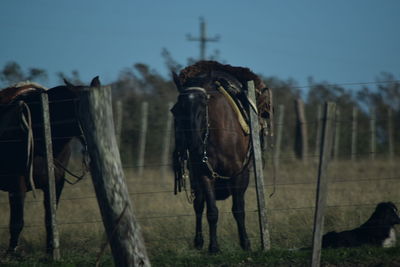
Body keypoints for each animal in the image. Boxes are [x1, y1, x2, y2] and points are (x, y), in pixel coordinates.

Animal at [0, 77, 99, 255]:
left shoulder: (56, 184)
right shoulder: (17, 185)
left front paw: (50, 251)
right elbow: (17, 222)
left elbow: (49, 220)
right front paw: (12, 253)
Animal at [172, 60, 272, 253]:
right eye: (176, 109)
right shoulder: (204, 174)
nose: (192, 145)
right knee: (199, 205)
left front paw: (245, 242)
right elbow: (211, 211)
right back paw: (199, 241)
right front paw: (213, 247)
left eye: (203, 105)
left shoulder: (240, 174)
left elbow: (238, 209)